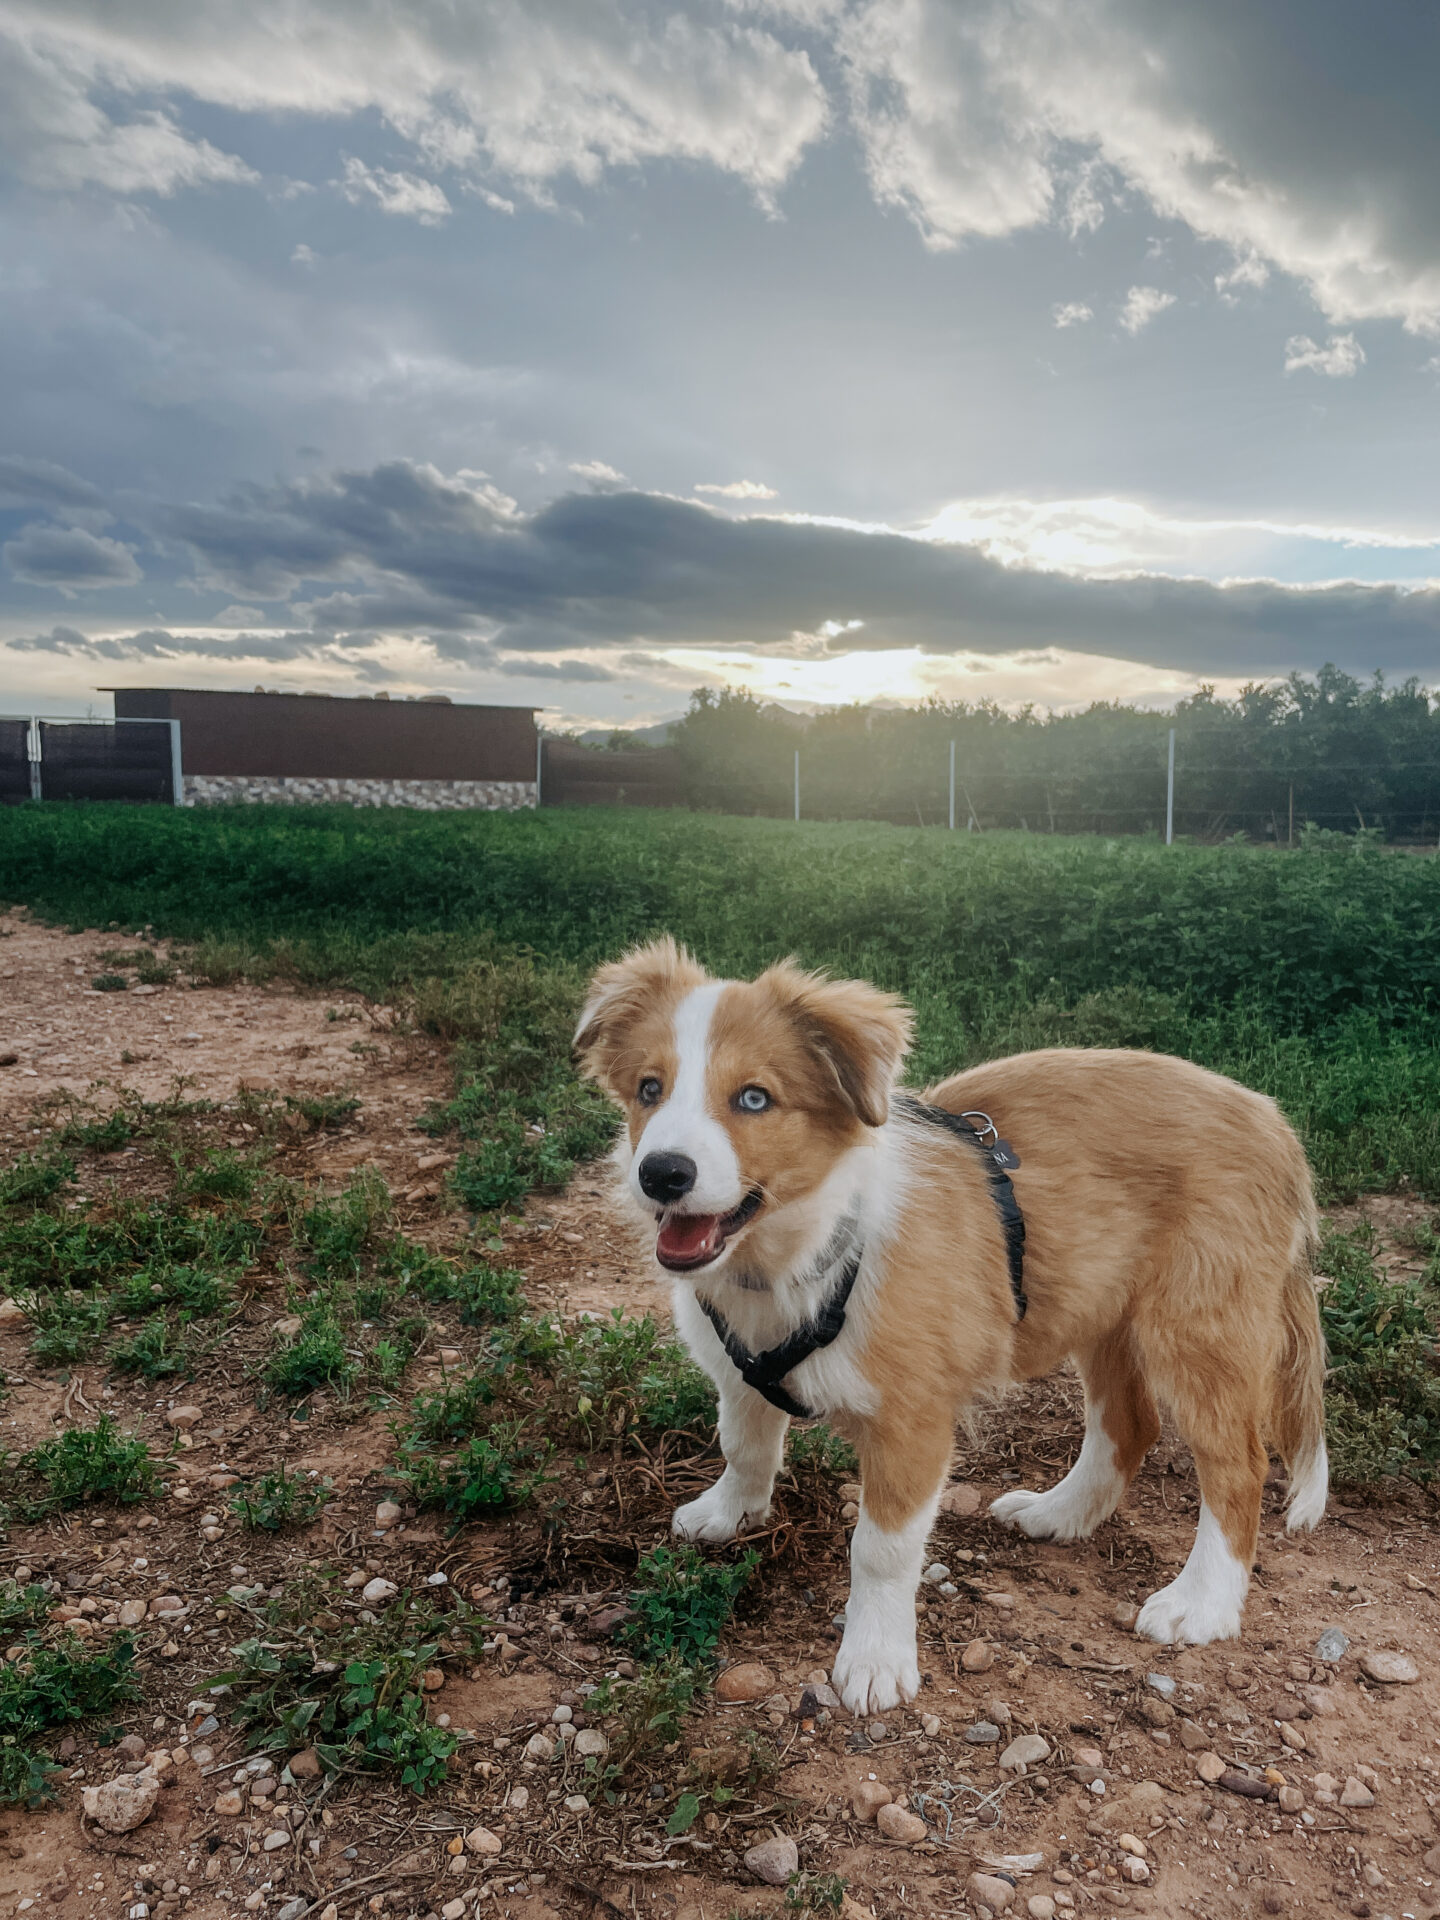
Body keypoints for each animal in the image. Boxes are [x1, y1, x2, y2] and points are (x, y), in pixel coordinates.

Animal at [576, 936, 1328, 1720]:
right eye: (649, 1090)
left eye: (754, 1098)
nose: (661, 1174)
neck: (797, 1251)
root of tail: (1273, 1120)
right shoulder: (739, 1368)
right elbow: (744, 1445)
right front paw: (730, 1512)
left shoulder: (912, 1421)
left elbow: (880, 1549)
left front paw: (874, 1659)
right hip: (1101, 1311)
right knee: (1129, 1423)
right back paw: (1061, 1513)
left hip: (1198, 1331)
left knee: (1237, 1466)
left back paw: (1203, 1603)